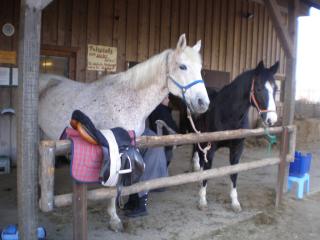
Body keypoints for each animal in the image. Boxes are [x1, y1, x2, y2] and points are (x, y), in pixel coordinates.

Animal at [38, 33, 210, 231]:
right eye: (183, 66)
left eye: (200, 69)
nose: (203, 103)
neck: (128, 98)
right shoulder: (114, 147)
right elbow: (113, 187)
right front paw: (114, 218)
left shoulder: (133, 143)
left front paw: (130, 206)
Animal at [191, 61, 278, 213]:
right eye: (259, 88)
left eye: (276, 89)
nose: (271, 119)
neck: (228, 113)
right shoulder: (211, 146)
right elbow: (208, 169)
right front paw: (202, 200)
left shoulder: (237, 147)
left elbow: (234, 172)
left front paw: (235, 202)